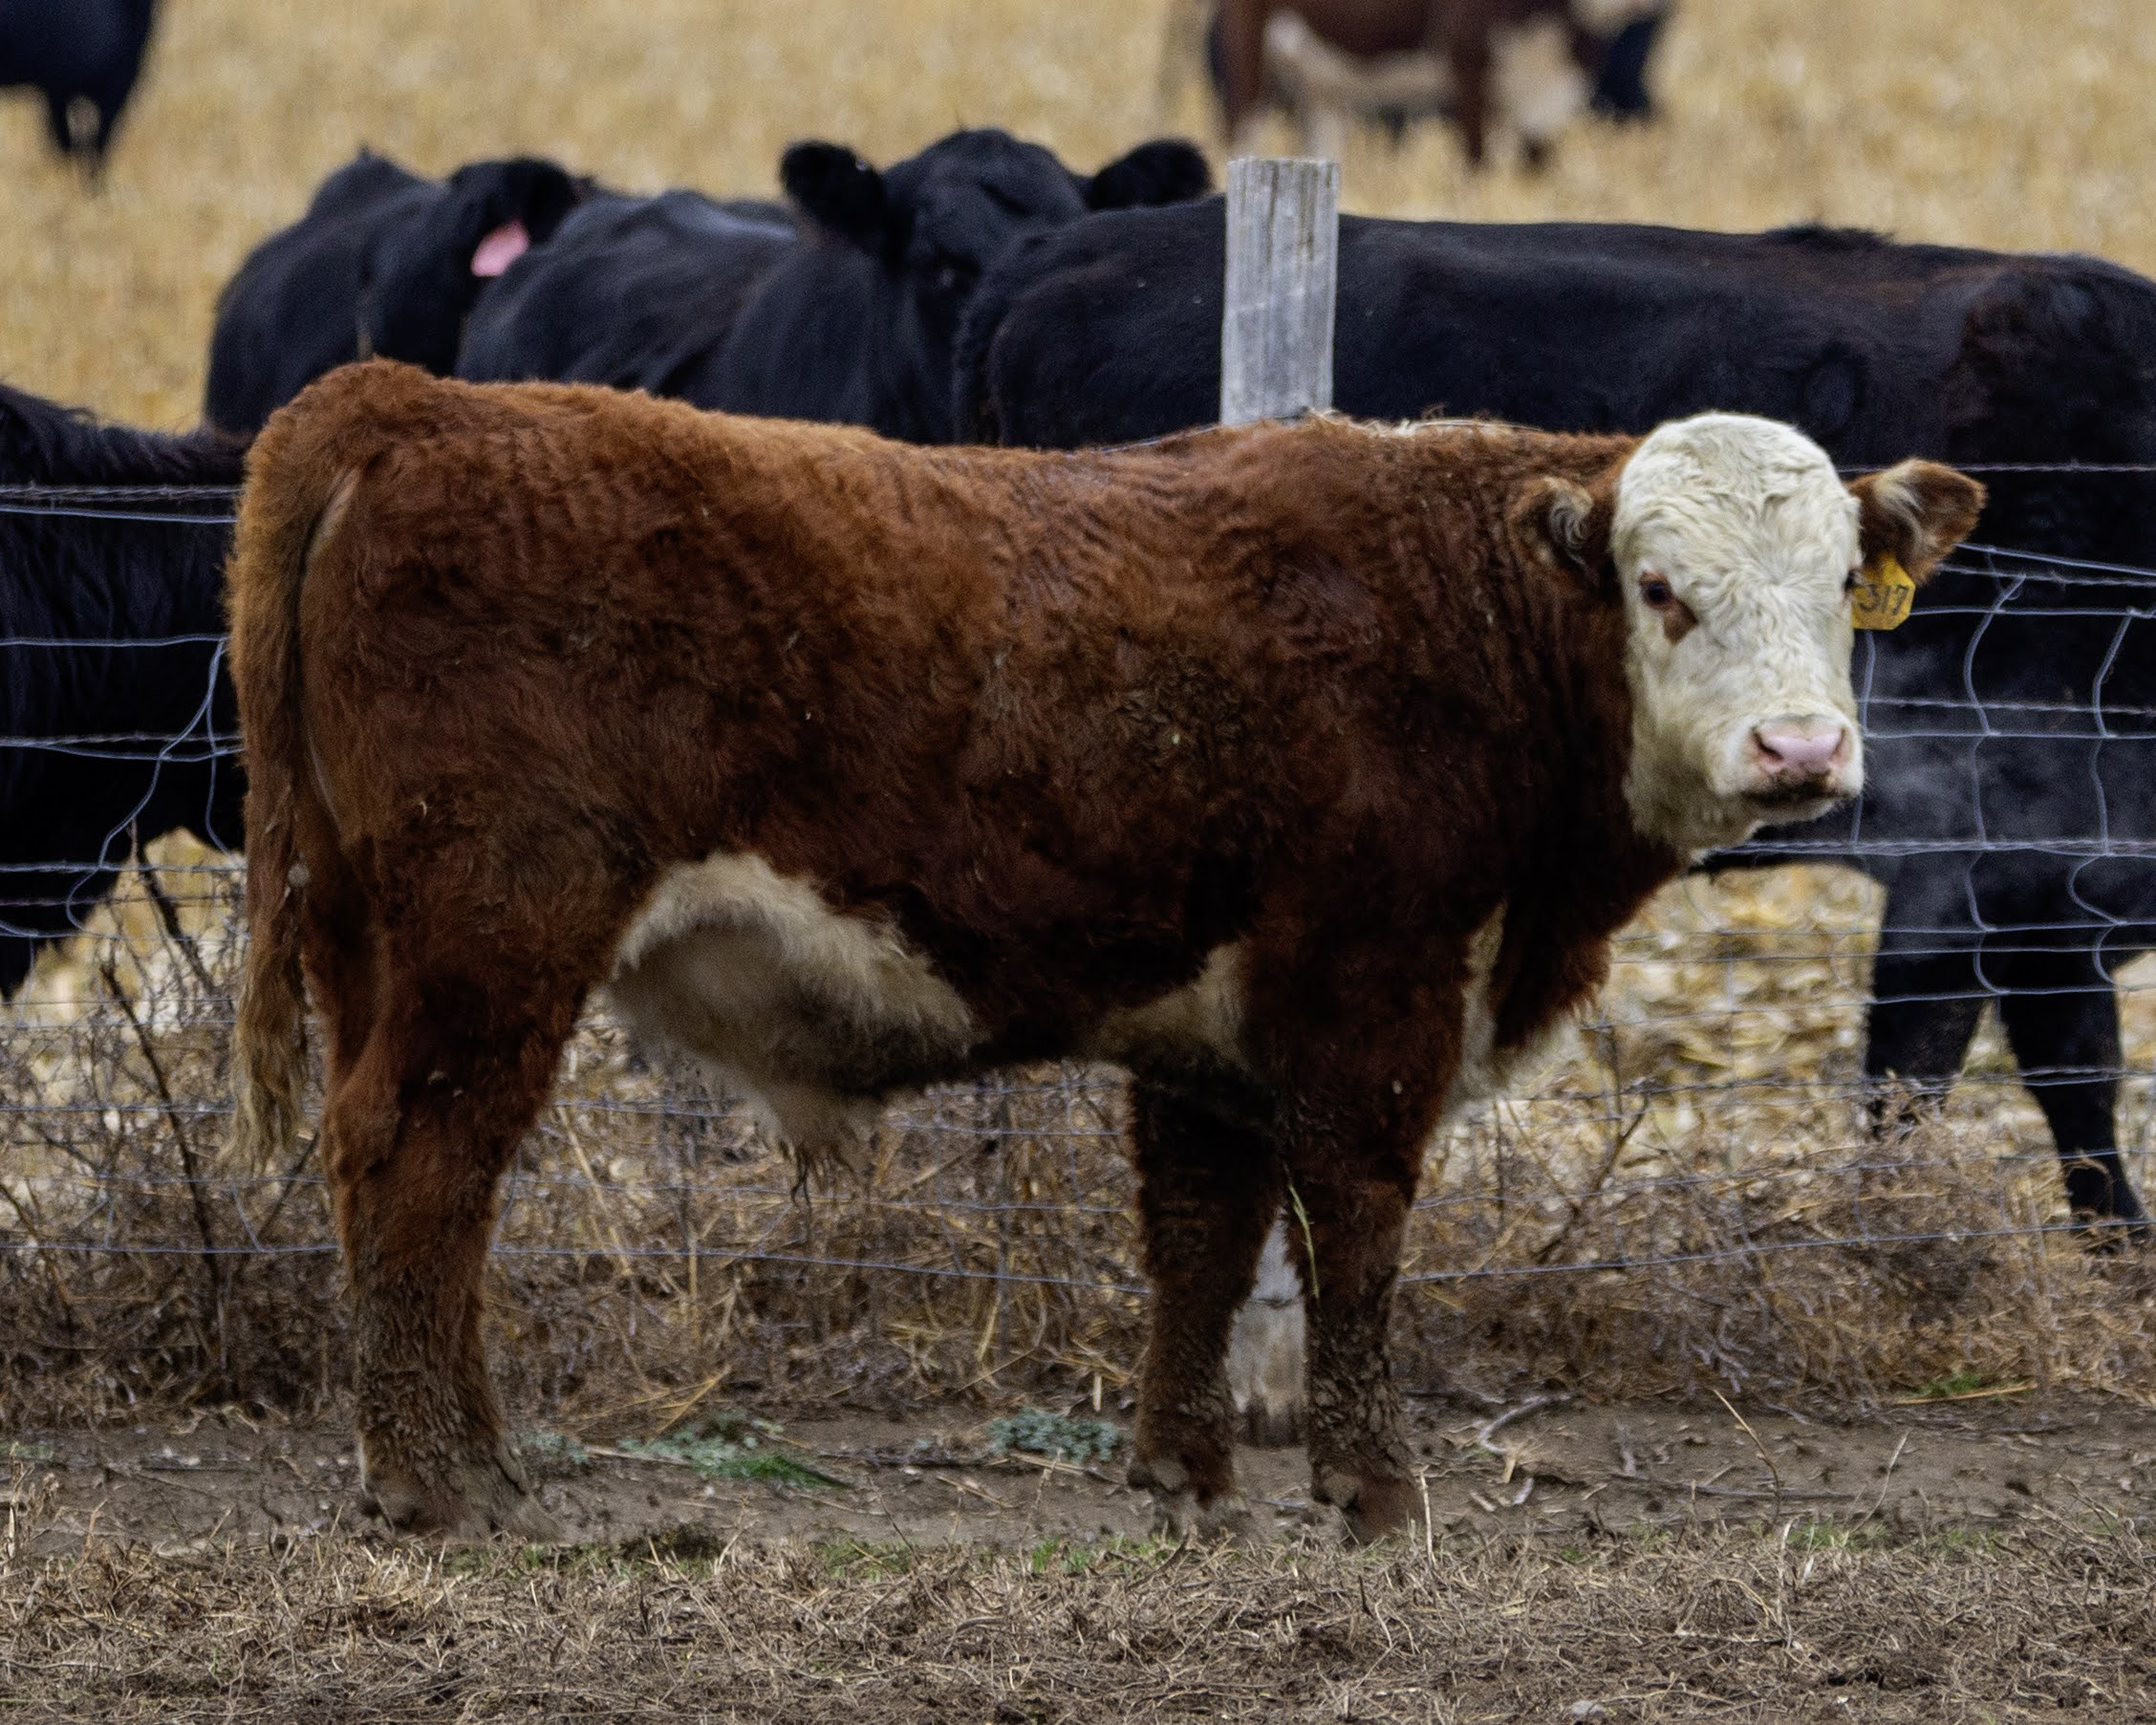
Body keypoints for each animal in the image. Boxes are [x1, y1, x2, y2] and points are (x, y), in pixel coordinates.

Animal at [224, 360, 1979, 1539]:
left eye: (1844, 584)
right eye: (1660, 588)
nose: (1800, 750)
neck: (1456, 617)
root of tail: (408, 402)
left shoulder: (1208, 1026)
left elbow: (1202, 1234)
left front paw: (1182, 1473)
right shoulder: (1372, 985)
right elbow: (1352, 1232)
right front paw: (1376, 1490)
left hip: (378, 948)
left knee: (432, 1186)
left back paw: (486, 1461)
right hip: (493, 940)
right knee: (414, 1163)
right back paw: (425, 1484)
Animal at [1207, 0, 1669, 166]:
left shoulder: (1546, 98)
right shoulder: (1466, 61)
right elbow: (1476, 163)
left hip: (1322, 82)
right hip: (1247, 43)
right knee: (1241, 129)